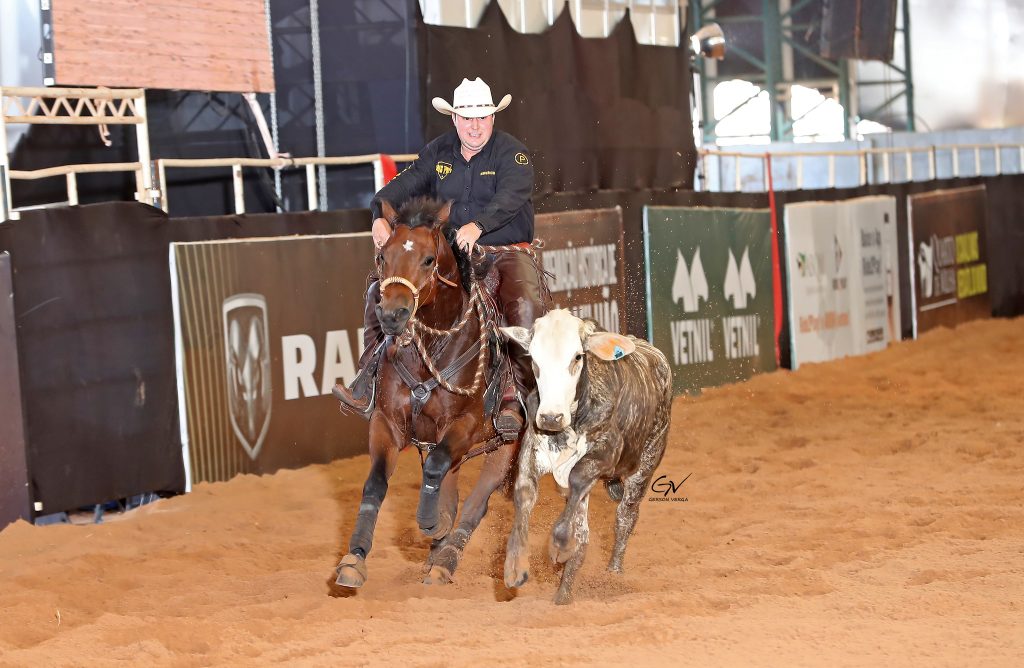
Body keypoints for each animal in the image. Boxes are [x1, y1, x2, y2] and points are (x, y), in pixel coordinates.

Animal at [331, 195, 516, 586]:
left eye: (429, 259)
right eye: (383, 256)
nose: (392, 315)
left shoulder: (464, 425)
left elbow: (435, 469)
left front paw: (433, 524)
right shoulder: (387, 422)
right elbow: (375, 484)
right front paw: (354, 559)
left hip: (510, 442)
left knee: (478, 499)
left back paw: (445, 558)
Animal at [501, 311, 675, 602]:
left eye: (577, 357)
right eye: (534, 359)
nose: (551, 417)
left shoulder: (605, 453)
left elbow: (578, 481)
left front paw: (560, 546)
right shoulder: (532, 448)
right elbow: (524, 493)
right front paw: (515, 566)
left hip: (647, 460)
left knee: (625, 517)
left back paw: (612, 572)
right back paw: (563, 595)